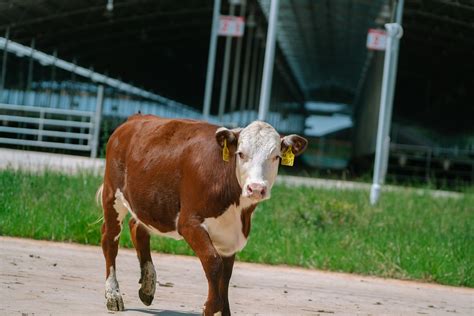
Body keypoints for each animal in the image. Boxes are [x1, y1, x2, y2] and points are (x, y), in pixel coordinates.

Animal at [98, 115, 310, 314]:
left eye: (276, 157)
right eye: (241, 154)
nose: (256, 188)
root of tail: (135, 118)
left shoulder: (230, 237)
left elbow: (226, 275)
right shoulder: (189, 223)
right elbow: (213, 263)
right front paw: (210, 306)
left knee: (138, 228)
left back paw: (148, 287)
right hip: (112, 195)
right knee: (110, 241)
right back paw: (113, 295)